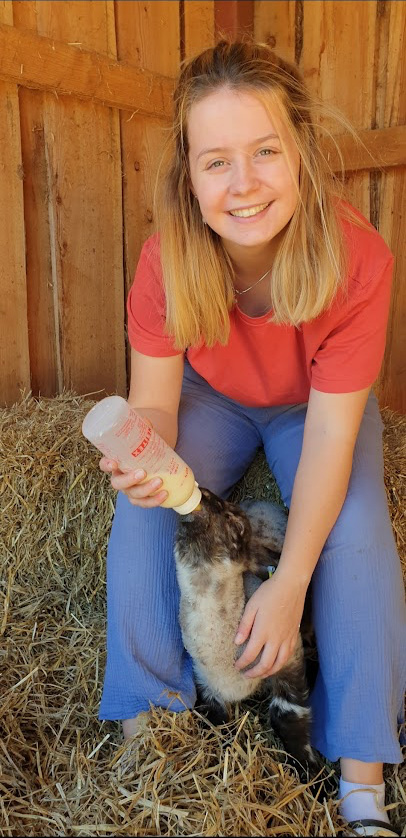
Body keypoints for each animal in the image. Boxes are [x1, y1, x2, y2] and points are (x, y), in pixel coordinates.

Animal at [174, 486, 318, 776]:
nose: (204, 492)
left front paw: (309, 769)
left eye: (236, 523)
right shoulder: (204, 684)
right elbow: (216, 722)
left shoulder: (287, 657)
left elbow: (287, 715)